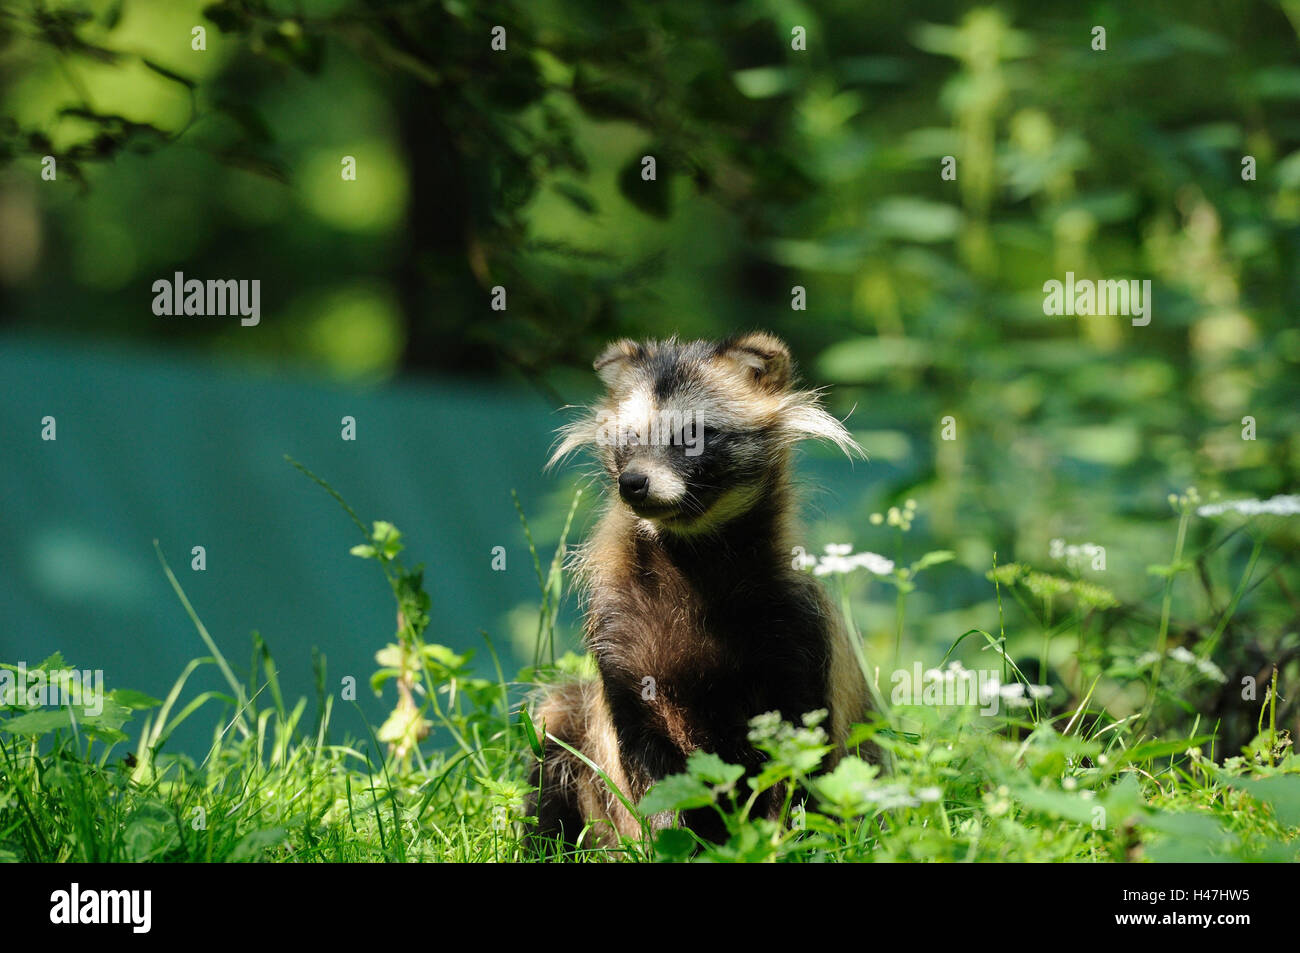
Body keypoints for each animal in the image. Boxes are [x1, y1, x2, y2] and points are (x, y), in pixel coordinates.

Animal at [528, 332, 872, 847]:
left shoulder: (798, 628)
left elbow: (799, 755)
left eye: (694, 434)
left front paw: (780, 840)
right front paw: (667, 841)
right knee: (554, 724)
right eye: (629, 437)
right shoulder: (620, 630)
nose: (633, 483)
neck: (692, 552)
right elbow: (650, 770)